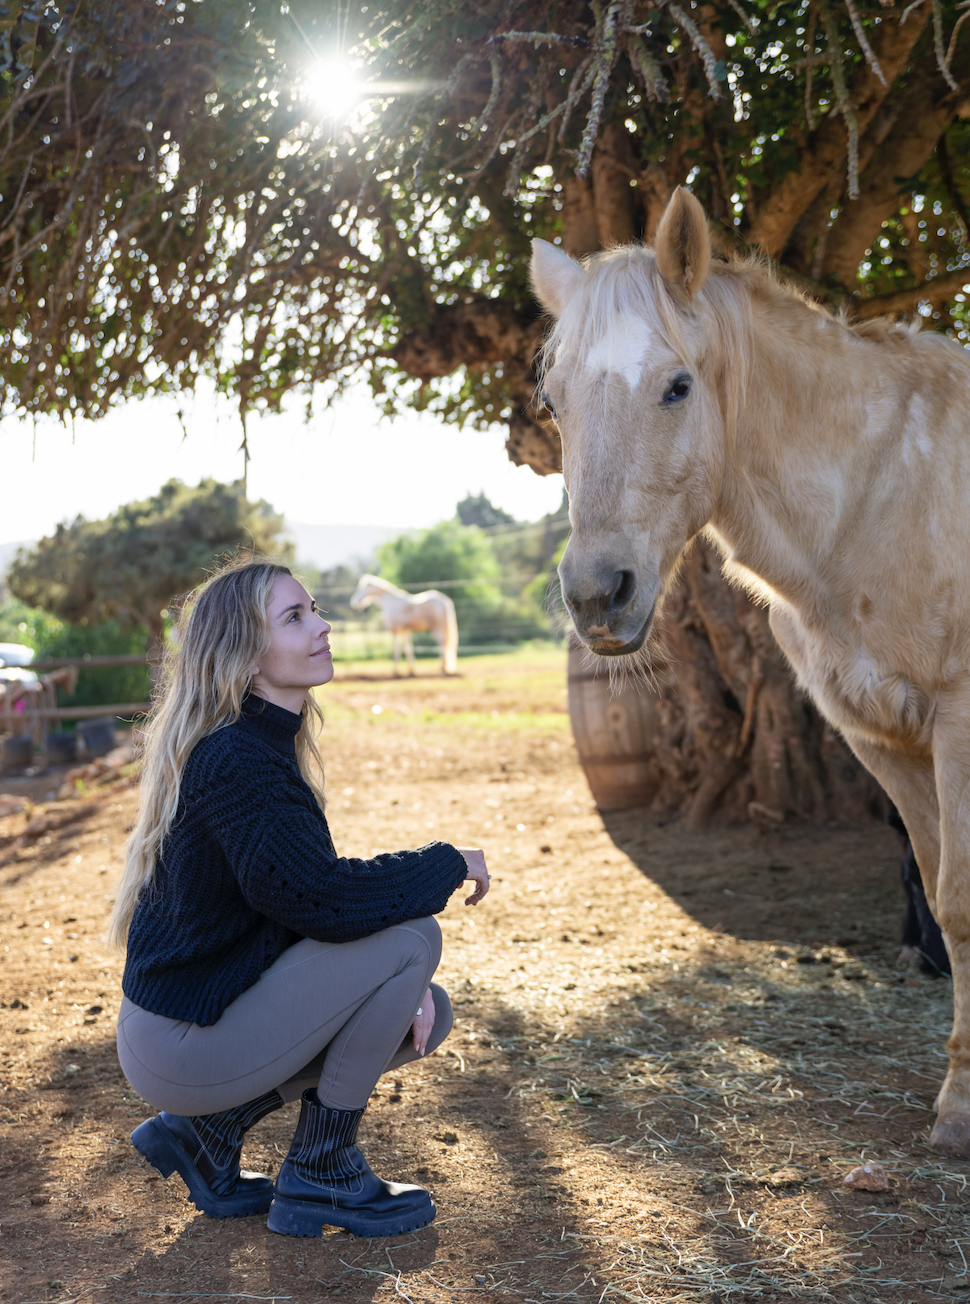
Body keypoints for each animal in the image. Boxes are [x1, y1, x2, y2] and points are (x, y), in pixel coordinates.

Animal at [530, 186, 970, 1156]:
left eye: (677, 386)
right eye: (554, 399)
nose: (597, 596)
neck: (879, 494)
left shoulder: (960, 728)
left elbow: (960, 897)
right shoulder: (885, 742)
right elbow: (942, 903)